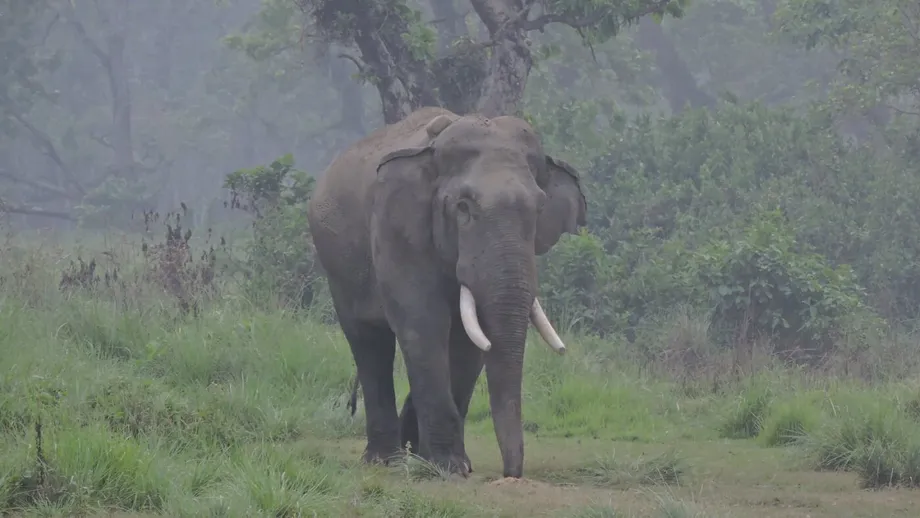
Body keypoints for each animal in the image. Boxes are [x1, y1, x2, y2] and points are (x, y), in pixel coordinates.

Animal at [307, 106, 587, 479]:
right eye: (463, 207)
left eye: (539, 209)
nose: (511, 474)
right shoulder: (398, 229)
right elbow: (424, 324)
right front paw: (449, 468)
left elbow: (471, 341)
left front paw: (444, 462)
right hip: (337, 265)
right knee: (368, 342)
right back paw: (385, 460)